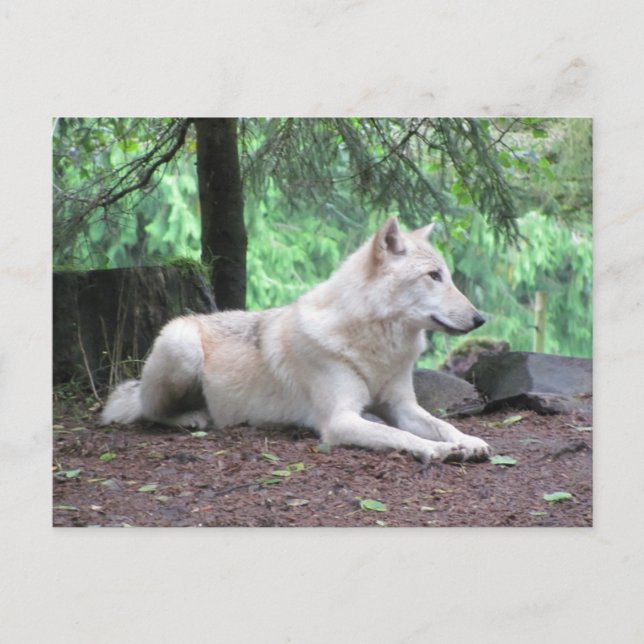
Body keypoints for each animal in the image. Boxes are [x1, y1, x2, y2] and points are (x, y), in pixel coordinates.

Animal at [101, 217, 490, 463]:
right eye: (434, 276)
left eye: (447, 275)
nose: (480, 319)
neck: (374, 346)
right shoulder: (340, 420)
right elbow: (403, 437)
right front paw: (439, 451)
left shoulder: (401, 406)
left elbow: (443, 424)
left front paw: (469, 442)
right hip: (181, 345)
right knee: (150, 413)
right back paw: (194, 417)